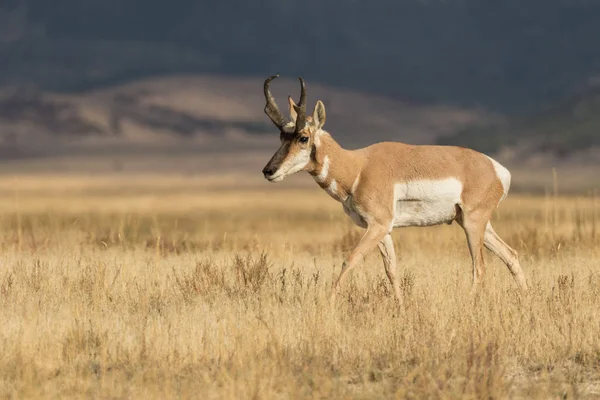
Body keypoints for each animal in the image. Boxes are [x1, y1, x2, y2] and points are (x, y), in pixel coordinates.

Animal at [260, 75, 528, 302]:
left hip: (473, 223)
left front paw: (328, 302)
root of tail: (496, 168)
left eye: (303, 138)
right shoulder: (382, 229)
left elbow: (350, 259)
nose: (268, 171)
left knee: (479, 267)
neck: (358, 167)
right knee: (511, 256)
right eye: (282, 137)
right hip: (473, 223)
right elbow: (391, 269)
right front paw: (399, 306)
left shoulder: (377, 225)